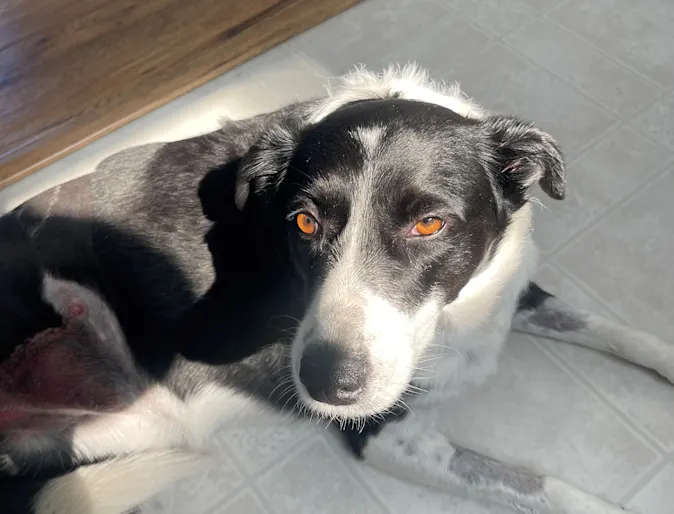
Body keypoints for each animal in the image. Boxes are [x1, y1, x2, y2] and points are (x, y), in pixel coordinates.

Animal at [0, 65, 668, 512]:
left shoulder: (503, 286)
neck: (452, 322)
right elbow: (549, 489)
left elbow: (609, 328)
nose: (327, 386)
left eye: (430, 223)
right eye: (303, 222)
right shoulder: (385, 433)